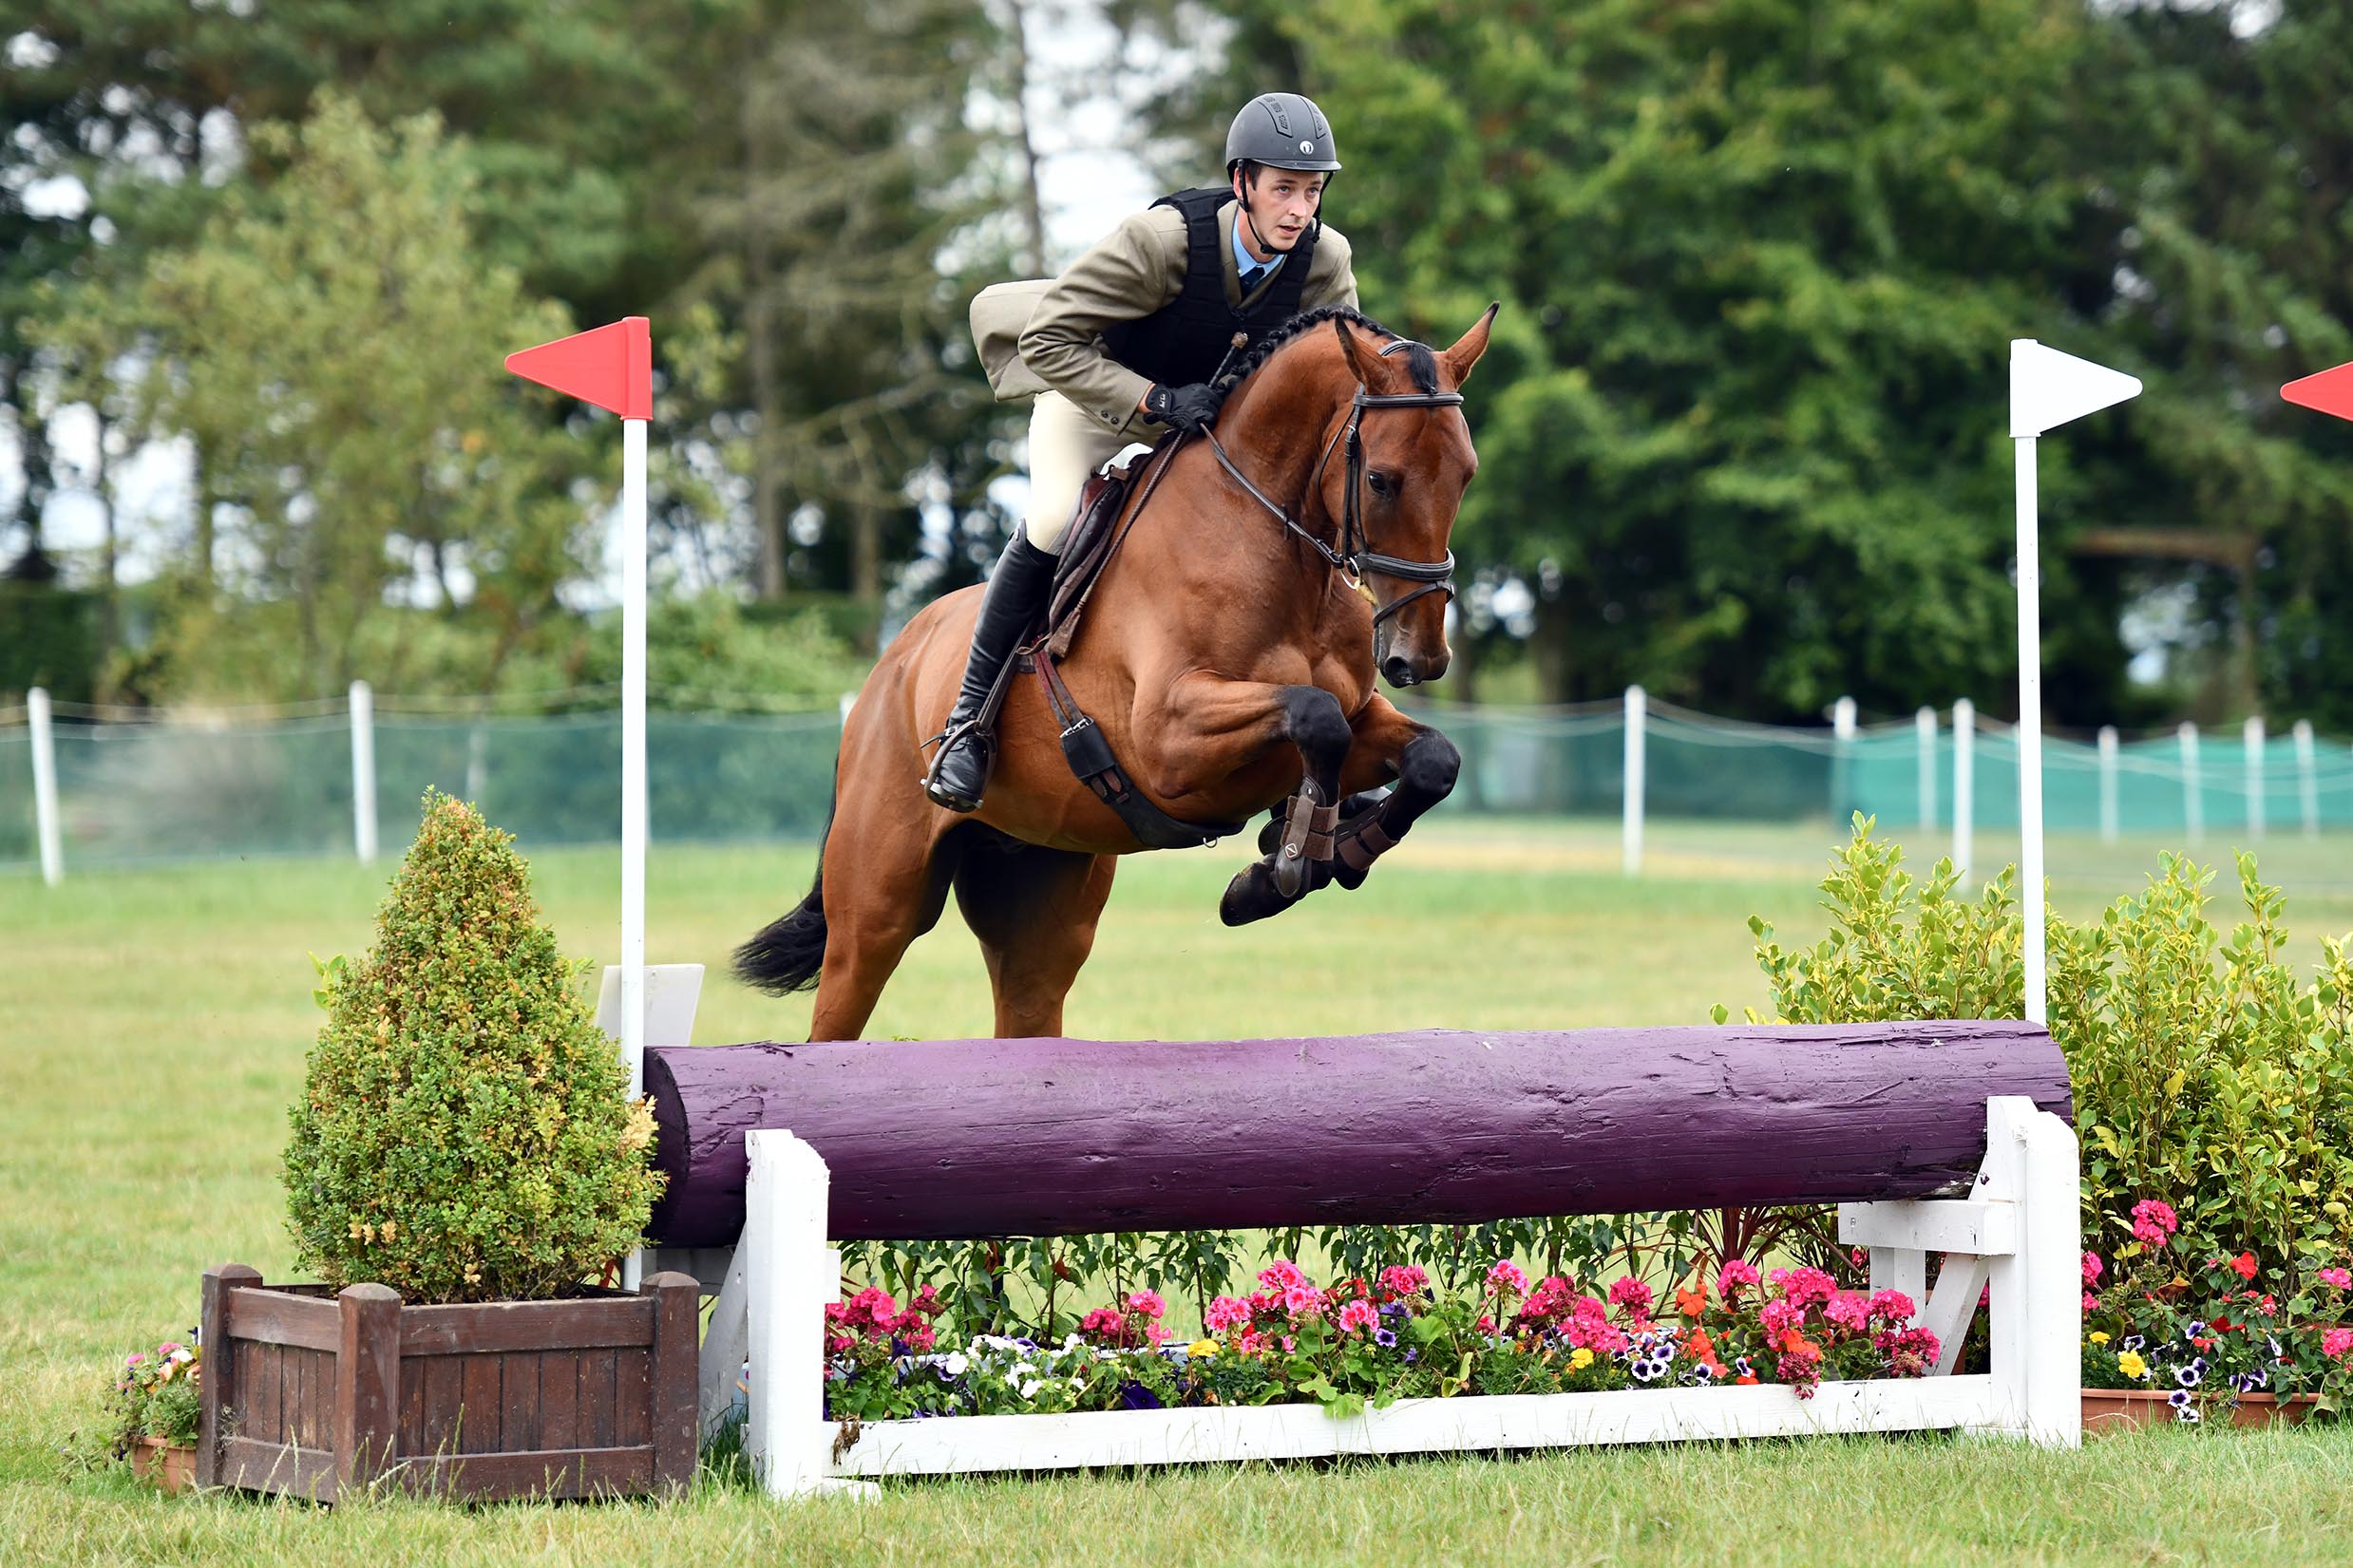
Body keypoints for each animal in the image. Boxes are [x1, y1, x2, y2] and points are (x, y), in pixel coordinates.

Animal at [743, 305, 1496, 1044]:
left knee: (1028, 1000)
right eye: (1380, 479)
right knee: (841, 1004)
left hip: (1041, 898)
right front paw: (1279, 866)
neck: (1272, 545)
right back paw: (960, 756)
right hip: (876, 909)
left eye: (1466, 474)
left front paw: (1332, 850)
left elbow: (1430, 757)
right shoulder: (1169, 742)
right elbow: (1316, 718)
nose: (1420, 657)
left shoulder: (1356, 715)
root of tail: (891, 667)